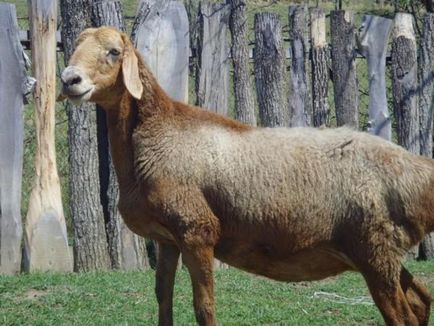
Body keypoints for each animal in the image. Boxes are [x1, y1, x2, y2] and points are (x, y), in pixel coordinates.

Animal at [60, 27, 434, 326]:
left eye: (113, 51)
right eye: (74, 46)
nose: (69, 79)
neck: (159, 133)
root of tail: (417, 170)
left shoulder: (197, 231)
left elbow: (204, 307)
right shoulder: (167, 239)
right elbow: (162, 299)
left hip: (374, 247)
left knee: (401, 315)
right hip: (378, 251)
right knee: (420, 301)